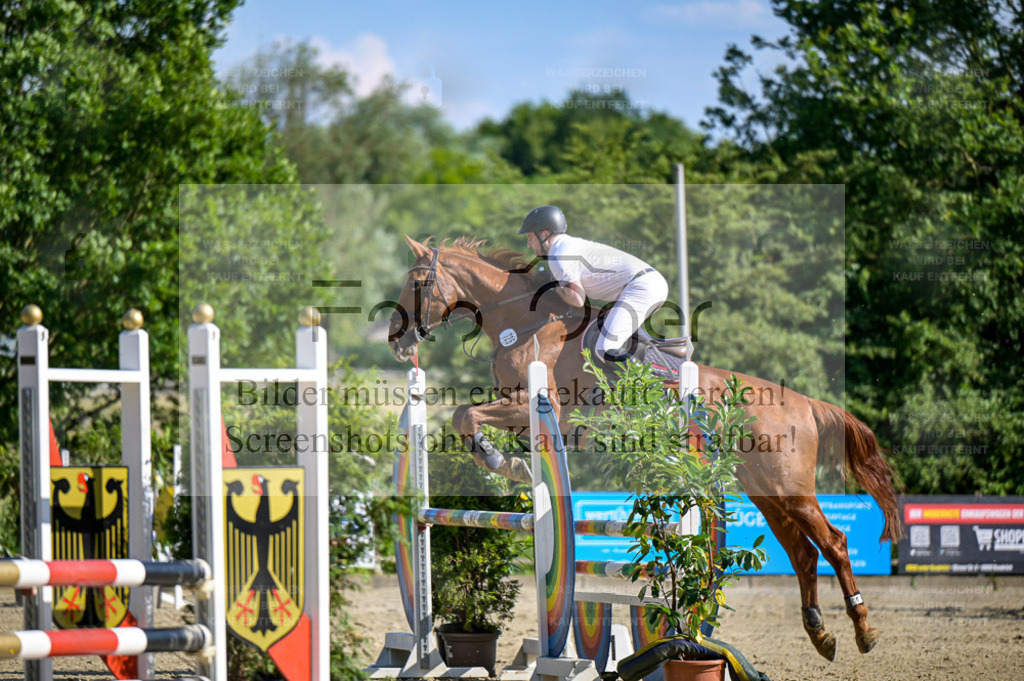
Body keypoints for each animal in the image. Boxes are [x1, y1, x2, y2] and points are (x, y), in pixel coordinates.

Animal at [387, 235, 901, 659]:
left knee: (833, 543)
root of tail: (804, 403)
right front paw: (509, 462)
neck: (522, 323)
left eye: (416, 281)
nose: (396, 338)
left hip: (789, 486)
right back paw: (821, 634)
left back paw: (862, 630)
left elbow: (465, 415)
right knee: (804, 554)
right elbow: (466, 417)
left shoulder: (534, 404)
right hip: (766, 491)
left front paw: (503, 461)